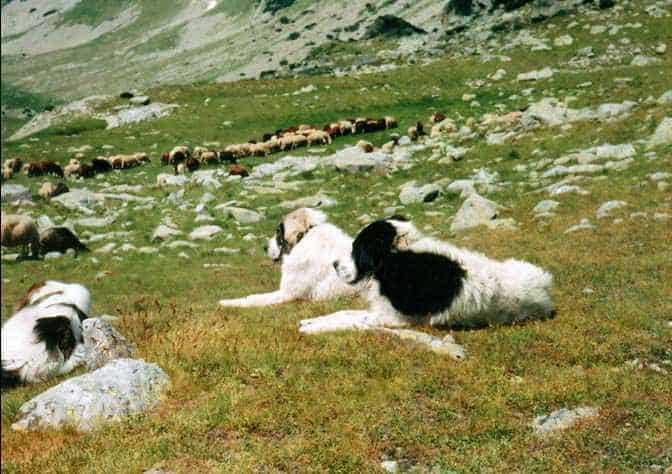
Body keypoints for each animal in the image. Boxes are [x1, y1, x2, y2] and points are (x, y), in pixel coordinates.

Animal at [219, 208, 356, 308]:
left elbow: (254, 298)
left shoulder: (286, 293)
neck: (304, 238)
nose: (265, 247)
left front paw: (227, 302)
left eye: (278, 232)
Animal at [300, 217, 552, 336]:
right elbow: (344, 313)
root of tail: (547, 286)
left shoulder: (395, 318)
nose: (334, 264)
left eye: (356, 248)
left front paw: (312, 328)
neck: (394, 257)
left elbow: (349, 320)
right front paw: (310, 321)